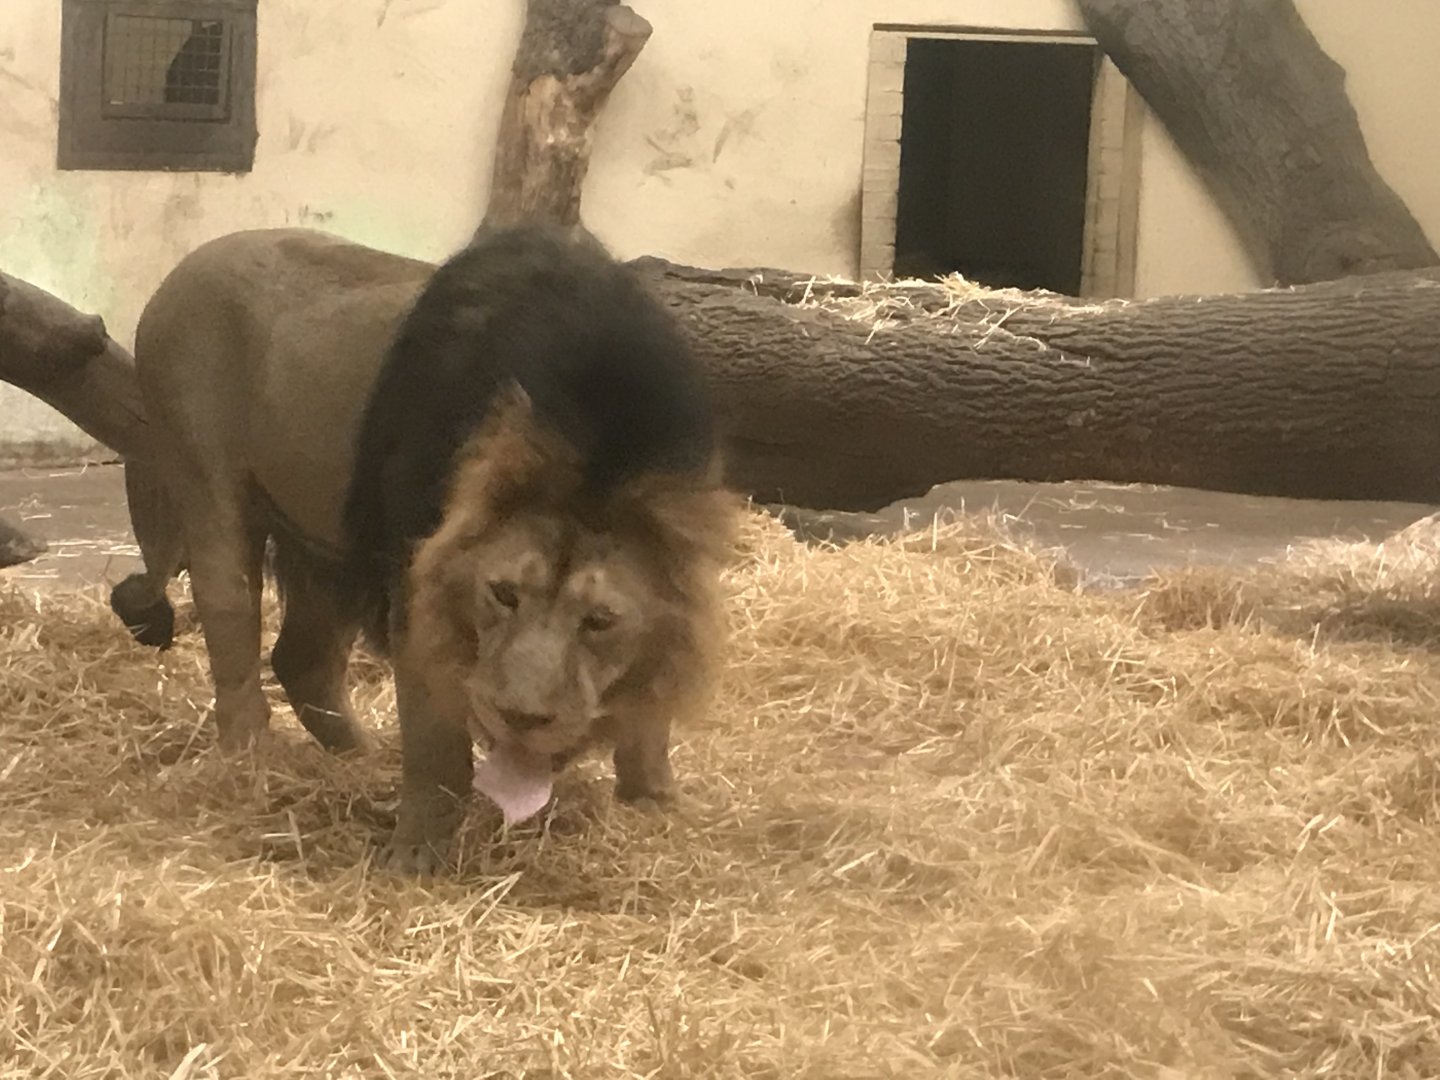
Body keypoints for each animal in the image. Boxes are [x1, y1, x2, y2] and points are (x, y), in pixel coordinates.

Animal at [110, 224, 738, 873]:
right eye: (503, 594)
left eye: (600, 620)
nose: (521, 719)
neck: (600, 436)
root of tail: (180, 272)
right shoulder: (415, 574)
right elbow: (435, 739)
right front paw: (416, 858)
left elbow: (652, 716)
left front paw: (657, 805)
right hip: (207, 479)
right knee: (231, 621)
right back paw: (250, 764)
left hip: (327, 542)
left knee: (302, 660)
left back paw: (361, 757)